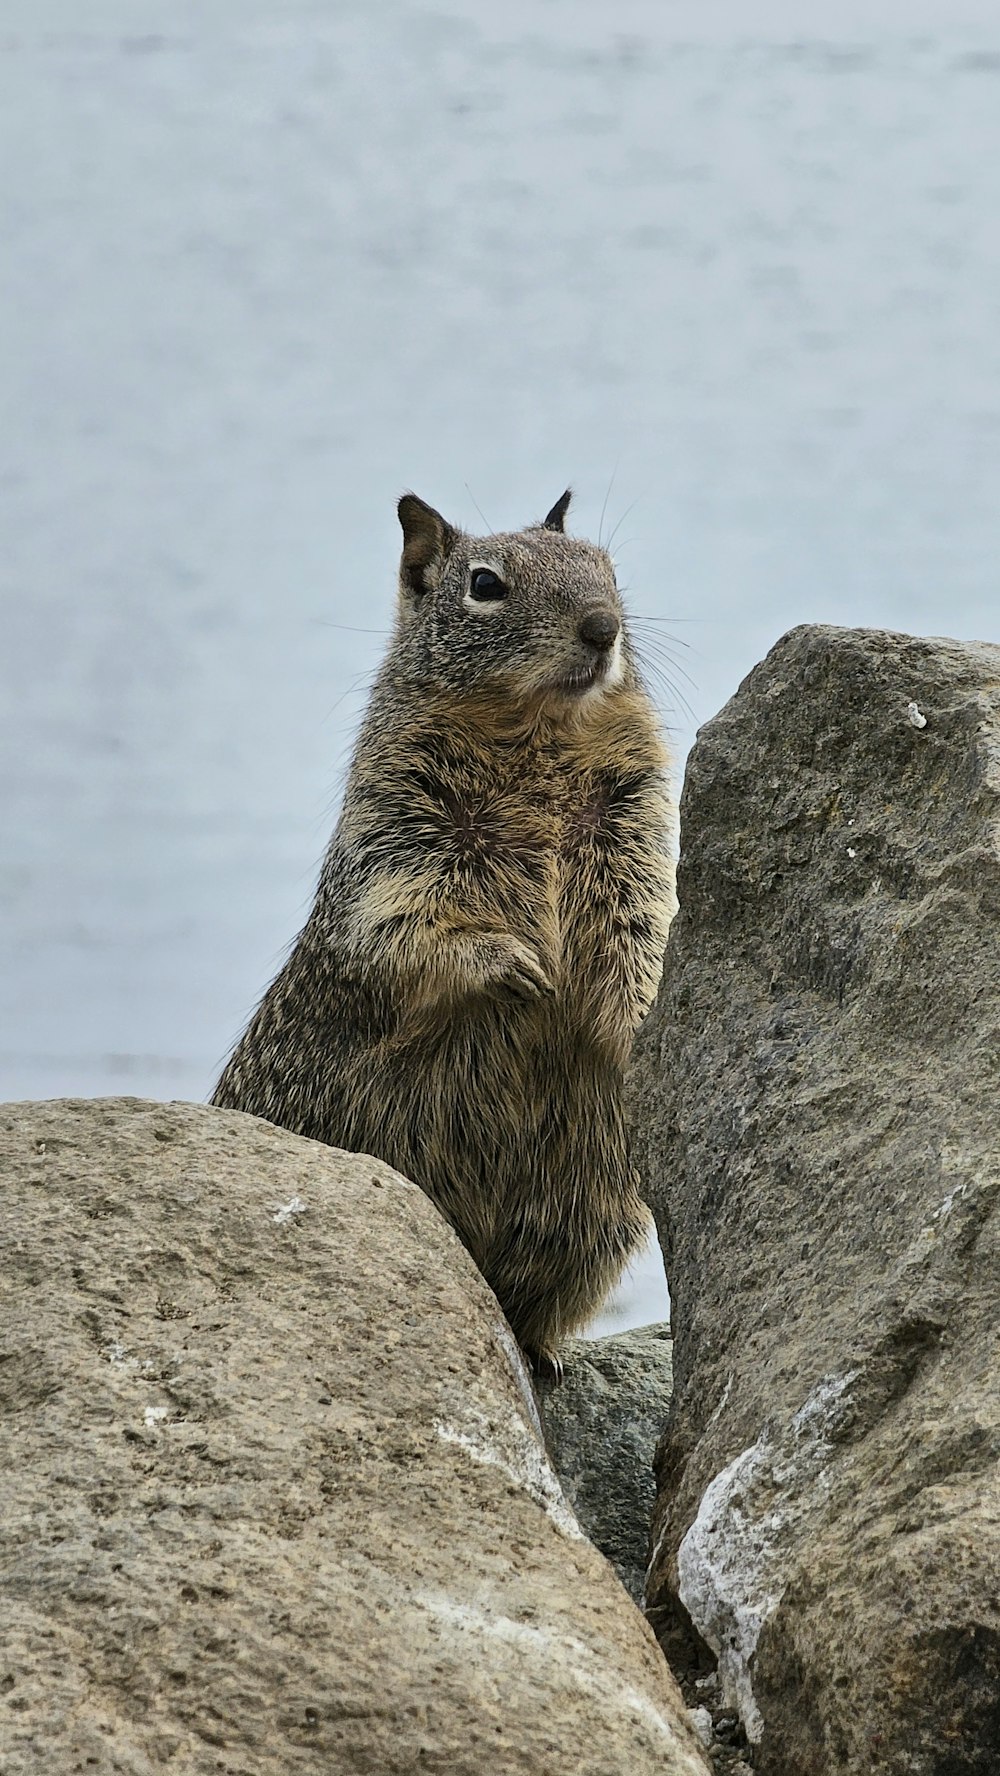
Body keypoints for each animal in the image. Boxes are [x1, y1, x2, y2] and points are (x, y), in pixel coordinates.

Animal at [214, 493, 678, 1378]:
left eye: (607, 569)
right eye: (485, 584)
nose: (604, 627)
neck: (538, 730)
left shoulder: (632, 835)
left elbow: (640, 936)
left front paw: (641, 1024)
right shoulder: (400, 837)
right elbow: (402, 926)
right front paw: (513, 965)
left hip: (591, 1215)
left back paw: (539, 1350)